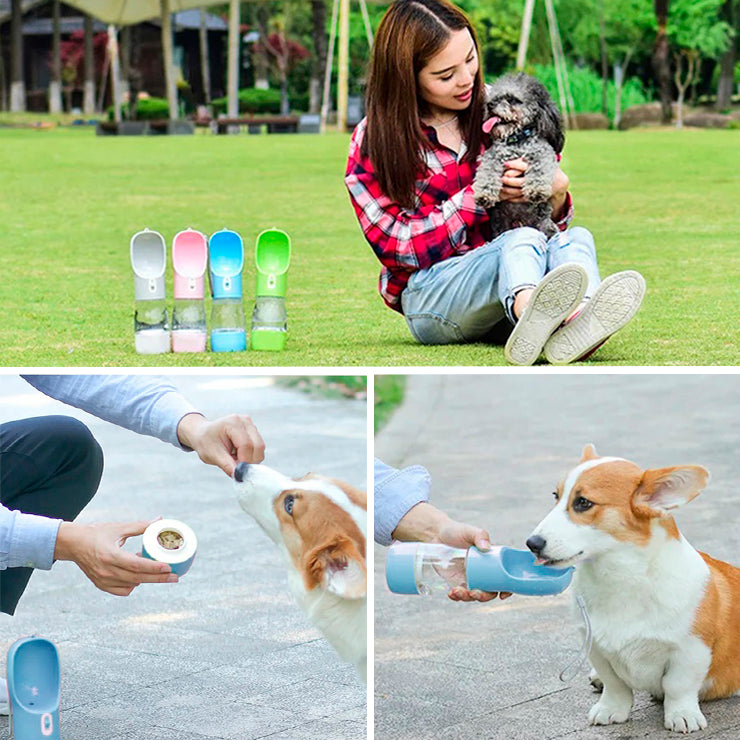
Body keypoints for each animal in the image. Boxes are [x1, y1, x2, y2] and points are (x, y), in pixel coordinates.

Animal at [528, 446, 740, 736]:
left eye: (583, 502)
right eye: (555, 496)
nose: (531, 543)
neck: (619, 578)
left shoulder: (691, 649)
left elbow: (678, 686)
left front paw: (682, 716)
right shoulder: (595, 645)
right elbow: (615, 684)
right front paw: (610, 710)